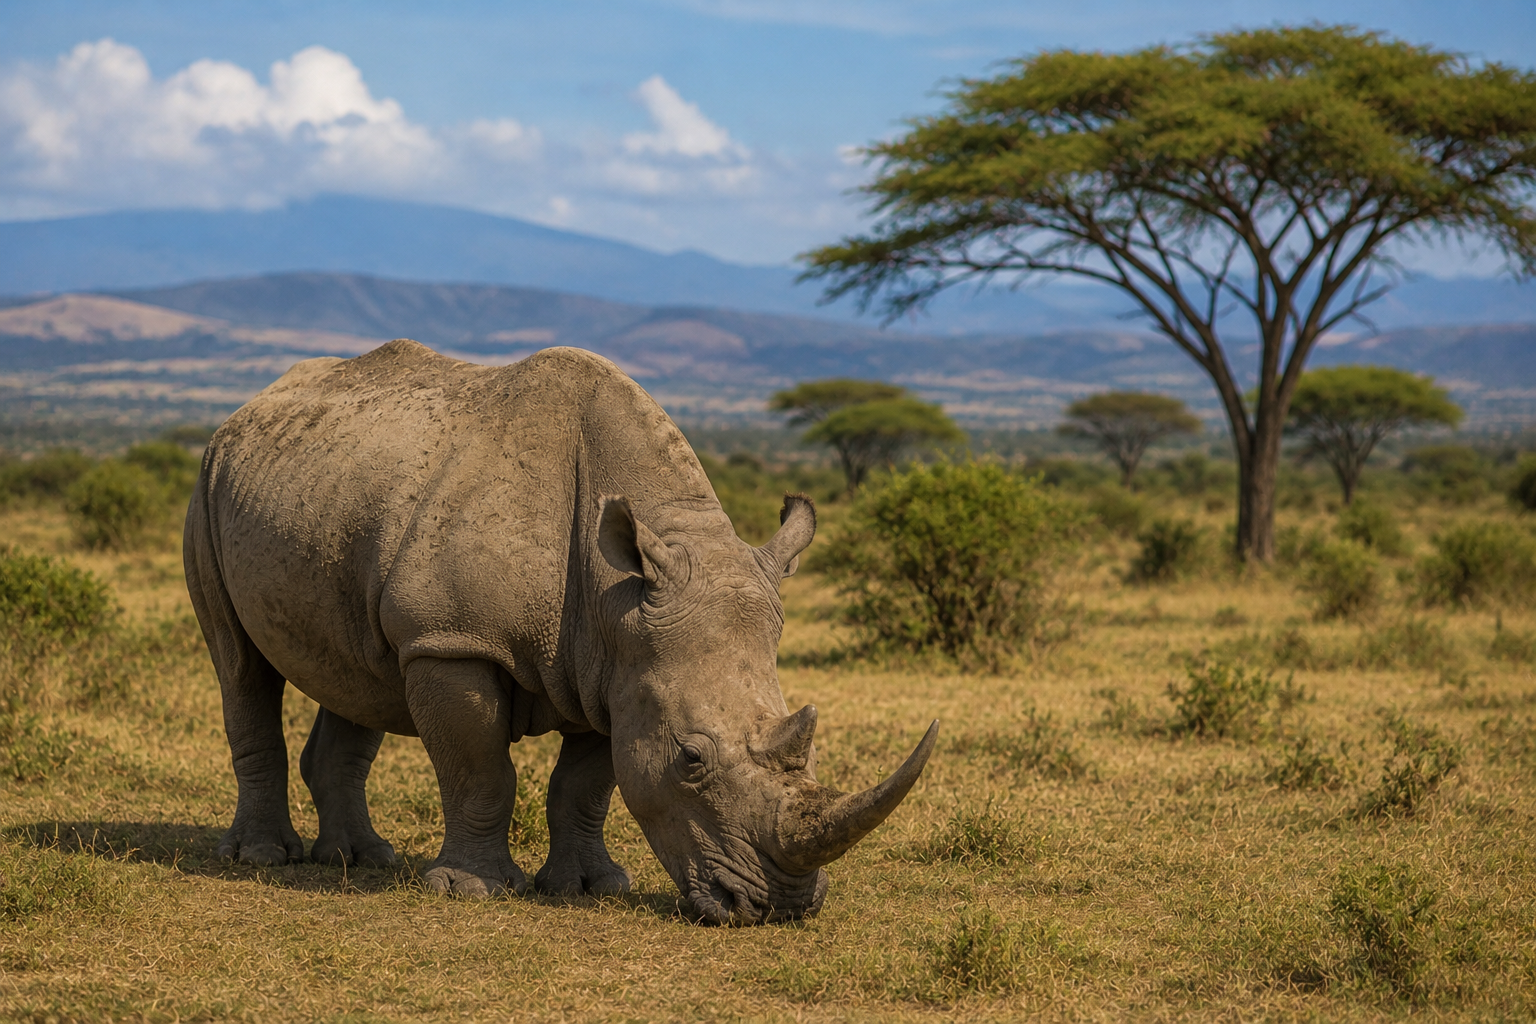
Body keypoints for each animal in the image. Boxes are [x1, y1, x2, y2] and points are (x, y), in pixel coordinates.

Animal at [183, 340, 937, 924]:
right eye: (692, 758)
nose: (780, 907)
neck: (617, 598)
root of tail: (245, 409)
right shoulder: (455, 640)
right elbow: (480, 768)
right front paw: (473, 891)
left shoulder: (618, 666)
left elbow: (586, 784)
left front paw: (588, 888)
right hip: (209, 484)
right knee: (239, 664)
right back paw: (264, 856)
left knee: (357, 675)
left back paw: (360, 859)